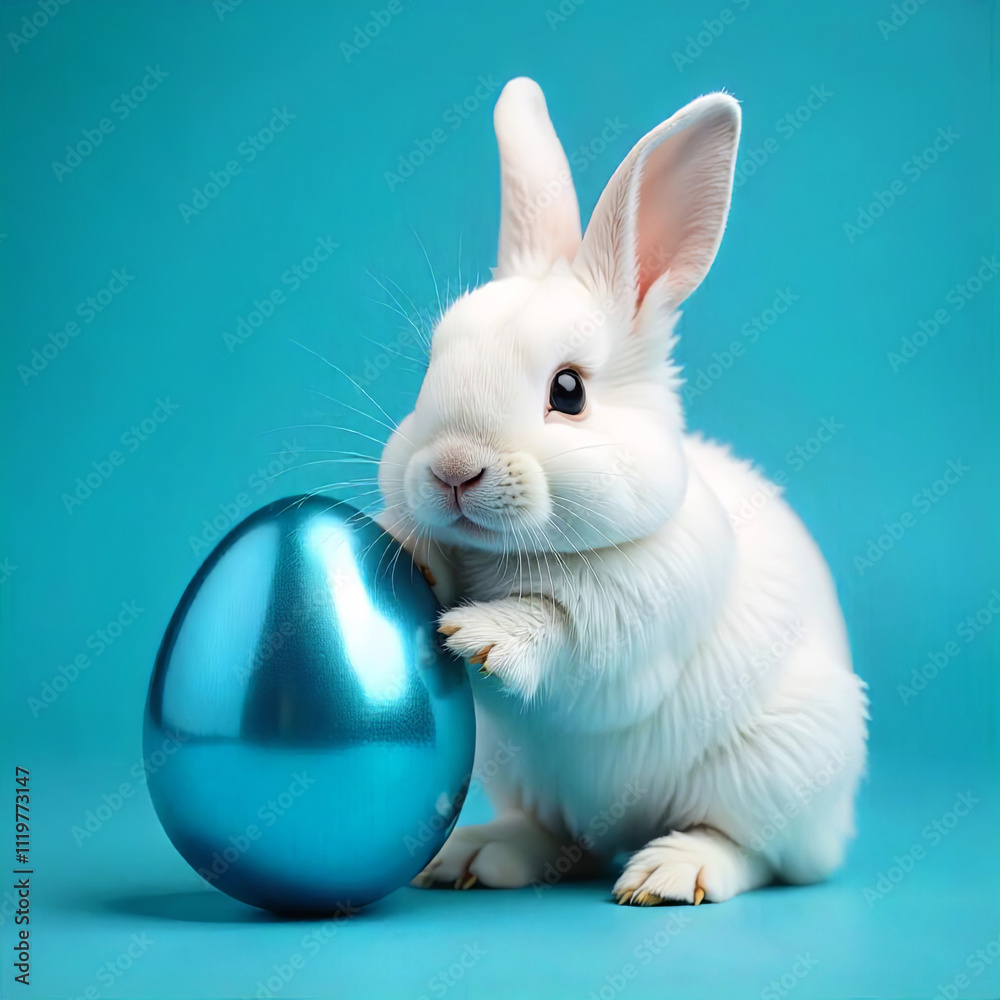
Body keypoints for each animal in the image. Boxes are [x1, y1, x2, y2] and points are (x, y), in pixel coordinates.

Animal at [376, 77, 868, 905]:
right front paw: (406, 548)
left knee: (754, 854)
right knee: (561, 839)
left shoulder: (634, 619)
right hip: (527, 777)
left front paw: (481, 636)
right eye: (431, 365)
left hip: (780, 765)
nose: (451, 470)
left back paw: (672, 871)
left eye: (568, 391)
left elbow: (563, 629)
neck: (512, 555)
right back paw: (478, 855)